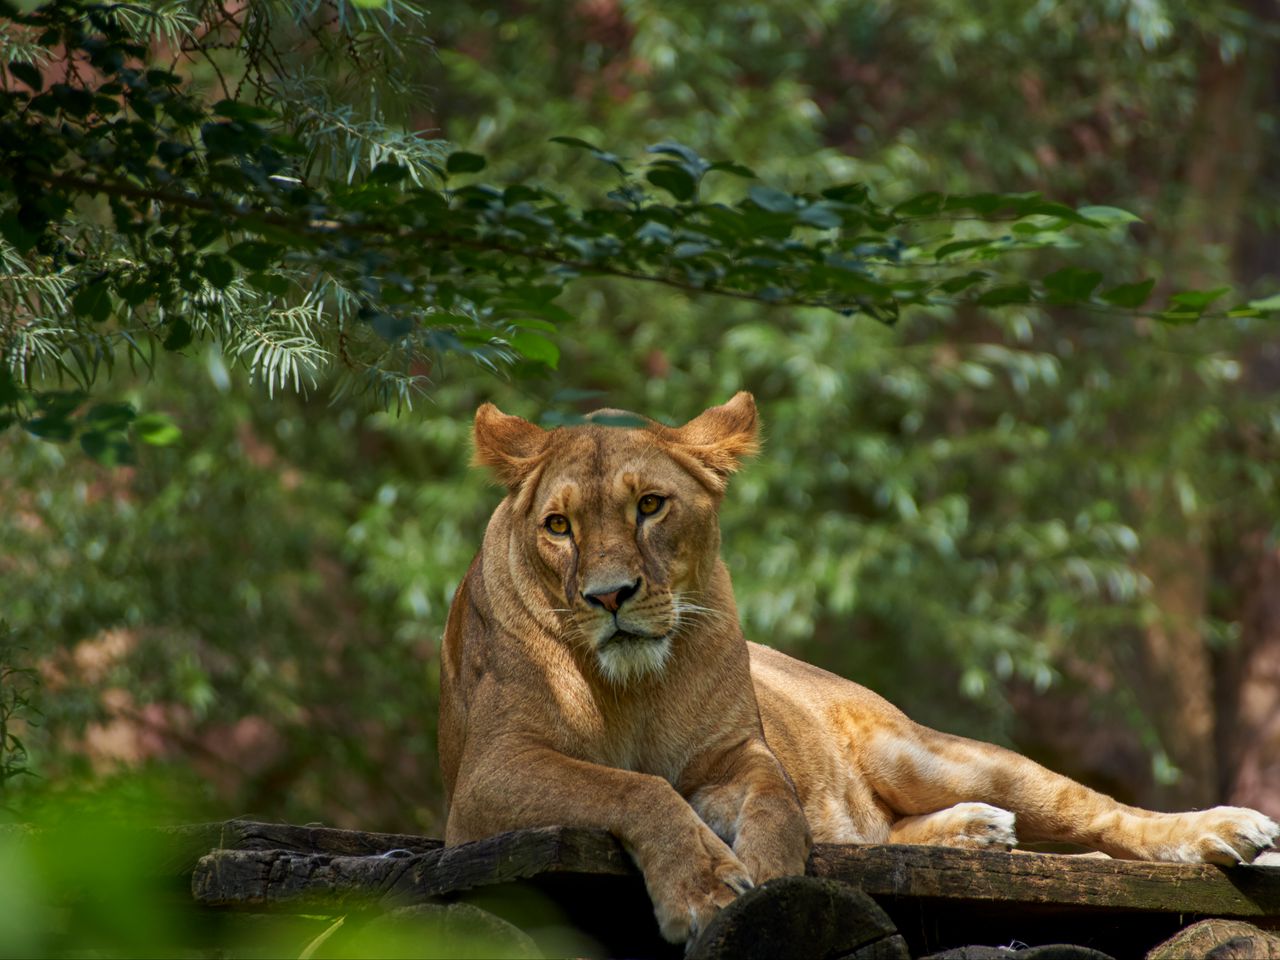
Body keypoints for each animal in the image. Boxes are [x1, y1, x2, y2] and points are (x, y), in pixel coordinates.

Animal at [438, 392, 1279, 945]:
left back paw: (1228, 831)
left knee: (1096, 812)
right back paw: (976, 834)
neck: (635, 687)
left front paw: (768, 883)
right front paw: (706, 886)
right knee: (884, 832)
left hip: (931, 755)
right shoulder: (485, 781)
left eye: (650, 506)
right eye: (558, 526)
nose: (610, 596)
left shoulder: (740, 755)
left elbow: (776, 805)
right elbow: (634, 787)